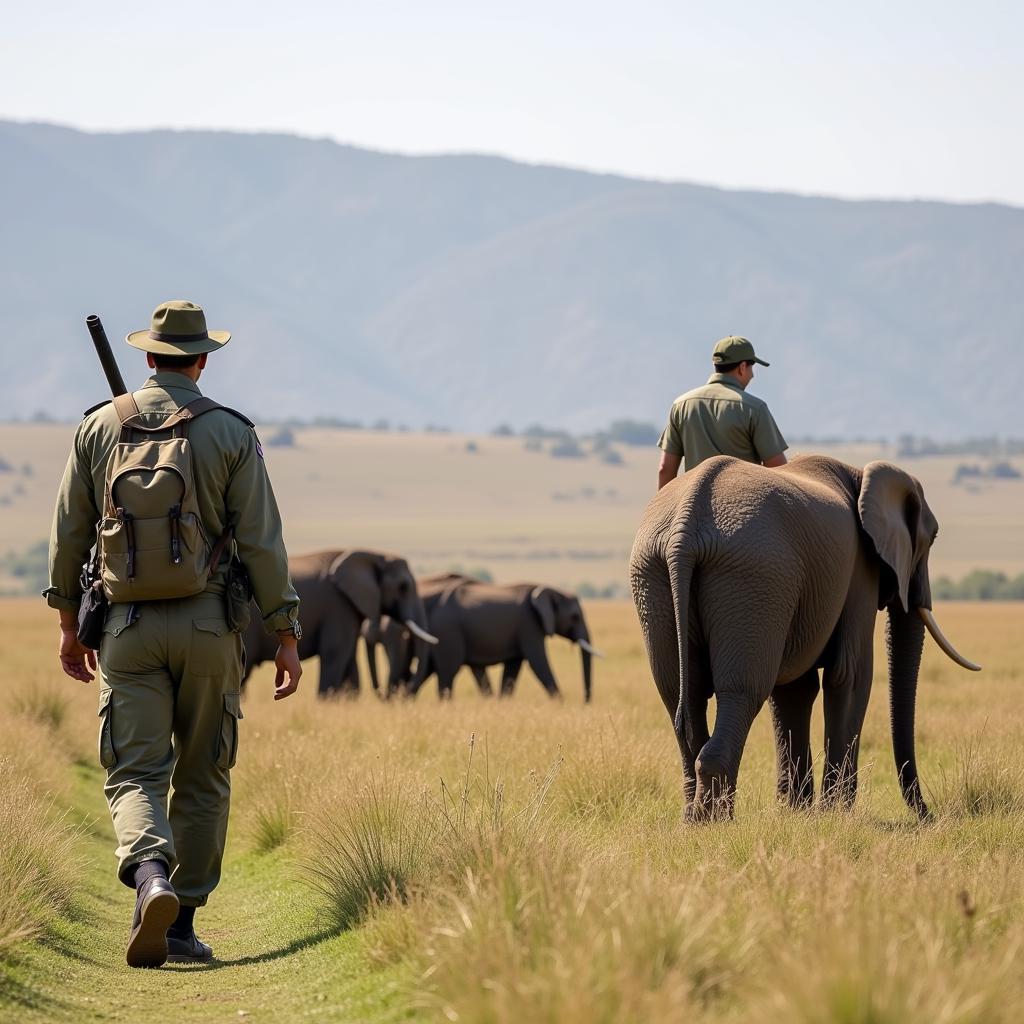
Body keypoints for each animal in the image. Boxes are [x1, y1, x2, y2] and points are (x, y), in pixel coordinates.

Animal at [242, 548, 436, 700]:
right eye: (403, 587)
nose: (389, 694)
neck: (375, 554)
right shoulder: (338, 605)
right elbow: (335, 651)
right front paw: (326, 702)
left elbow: (348, 658)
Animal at [407, 577, 598, 704]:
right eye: (575, 617)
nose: (585, 703)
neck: (549, 589)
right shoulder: (529, 624)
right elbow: (538, 662)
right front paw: (560, 703)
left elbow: (513, 669)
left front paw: (504, 703)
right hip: (448, 631)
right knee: (448, 671)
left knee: (428, 669)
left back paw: (405, 699)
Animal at [626, 456, 978, 823]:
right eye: (932, 537)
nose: (929, 815)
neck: (860, 476)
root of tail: (686, 526)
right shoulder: (859, 571)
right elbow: (851, 676)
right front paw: (835, 813)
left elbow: (794, 690)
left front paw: (797, 812)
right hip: (753, 577)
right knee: (742, 691)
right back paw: (714, 822)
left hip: (656, 577)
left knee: (680, 695)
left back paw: (693, 819)